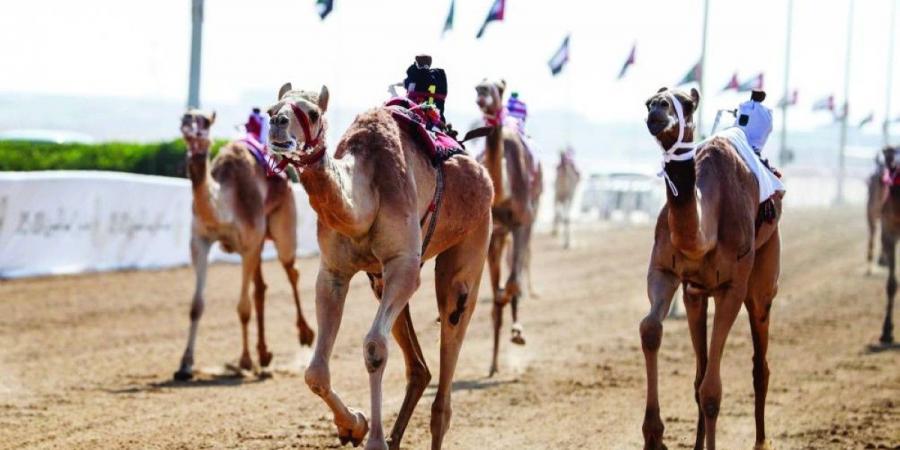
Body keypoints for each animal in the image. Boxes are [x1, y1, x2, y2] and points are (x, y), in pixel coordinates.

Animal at [176, 110, 316, 382]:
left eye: (204, 121)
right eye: (185, 116)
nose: (187, 123)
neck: (224, 202)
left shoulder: (248, 243)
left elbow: (243, 307)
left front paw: (245, 361)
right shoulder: (199, 241)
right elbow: (196, 306)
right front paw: (185, 365)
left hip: (283, 225)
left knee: (291, 270)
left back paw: (306, 335)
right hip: (260, 242)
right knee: (261, 287)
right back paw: (264, 354)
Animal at [268, 81, 492, 450]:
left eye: (313, 113)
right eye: (271, 110)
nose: (277, 125)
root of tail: (481, 173)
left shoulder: (404, 266)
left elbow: (374, 348)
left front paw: (373, 439)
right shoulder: (333, 271)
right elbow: (315, 371)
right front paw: (354, 426)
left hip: (474, 232)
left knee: (454, 315)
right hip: (380, 281)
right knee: (419, 368)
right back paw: (395, 436)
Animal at [640, 86, 780, 448]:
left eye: (688, 104)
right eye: (649, 101)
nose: (658, 111)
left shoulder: (732, 287)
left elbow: (713, 391)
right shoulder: (665, 271)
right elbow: (650, 329)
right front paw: (653, 435)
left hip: (761, 280)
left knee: (760, 366)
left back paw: (761, 441)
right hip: (697, 294)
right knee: (699, 372)